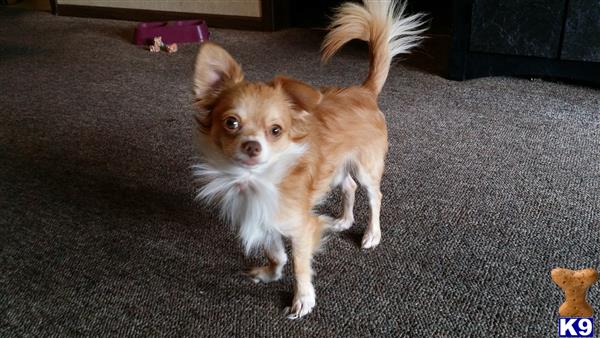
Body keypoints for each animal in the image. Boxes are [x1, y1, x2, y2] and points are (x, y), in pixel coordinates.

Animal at [192, 0, 426, 318]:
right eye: (231, 123)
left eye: (276, 130)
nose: (252, 146)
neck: (258, 180)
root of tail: (364, 92)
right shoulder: (269, 218)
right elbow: (276, 253)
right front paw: (270, 273)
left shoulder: (302, 228)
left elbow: (300, 265)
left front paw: (303, 298)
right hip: (338, 169)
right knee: (350, 187)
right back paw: (343, 220)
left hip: (366, 167)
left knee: (375, 196)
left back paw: (371, 234)